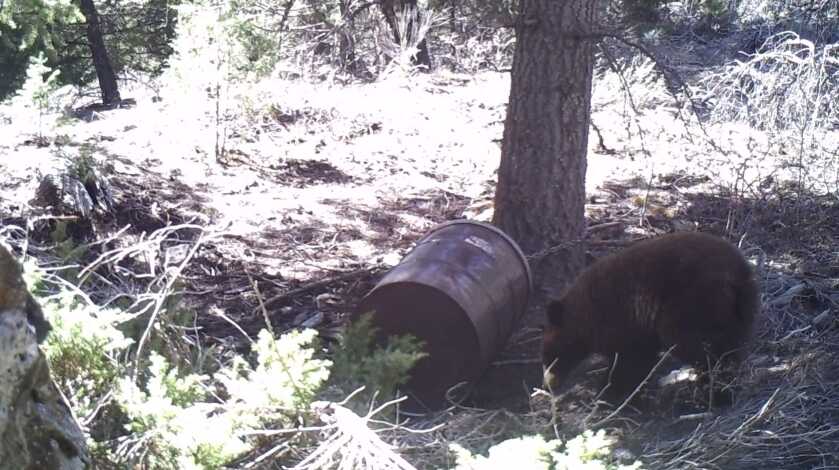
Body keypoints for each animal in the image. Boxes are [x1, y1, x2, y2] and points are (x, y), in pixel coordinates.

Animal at [541, 231, 759, 406]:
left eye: (547, 355)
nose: (548, 384)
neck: (581, 315)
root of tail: (736, 273)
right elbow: (641, 359)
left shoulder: (618, 320)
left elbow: (629, 362)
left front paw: (608, 393)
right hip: (741, 308)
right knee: (731, 346)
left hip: (692, 303)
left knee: (697, 347)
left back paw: (713, 392)